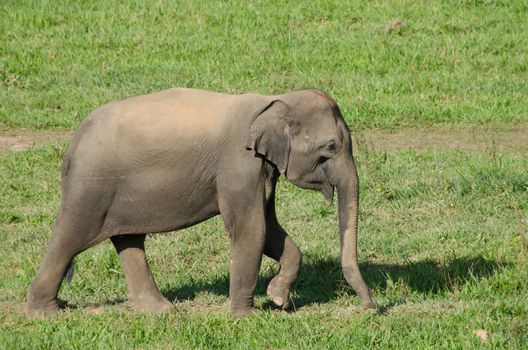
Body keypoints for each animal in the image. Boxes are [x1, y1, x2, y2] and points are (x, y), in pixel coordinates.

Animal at [25, 88, 376, 318]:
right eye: (330, 147)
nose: (369, 309)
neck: (274, 99)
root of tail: (75, 140)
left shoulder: (262, 168)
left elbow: (271, 229)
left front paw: (277, 298)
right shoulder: (238, 166)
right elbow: (251, 230)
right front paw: (248, 317)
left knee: (128, 240)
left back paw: (159, 310)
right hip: (91, 186)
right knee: (69, 238)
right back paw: (46, 313)